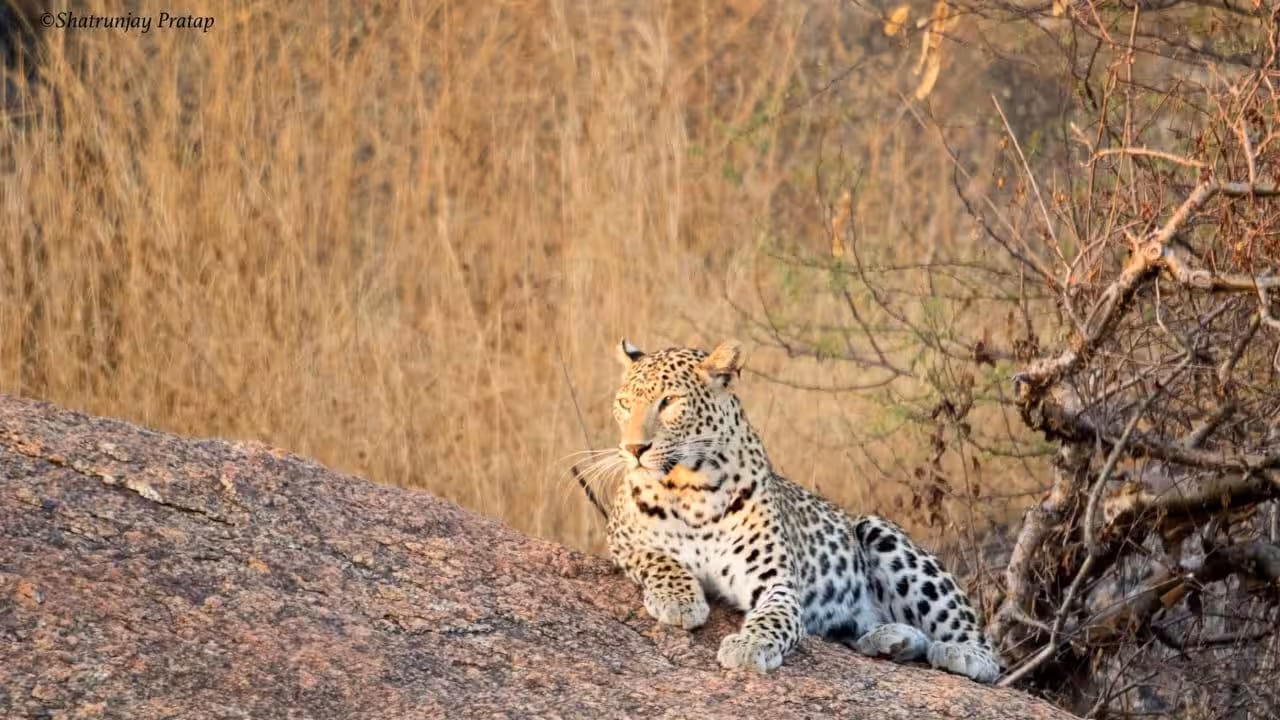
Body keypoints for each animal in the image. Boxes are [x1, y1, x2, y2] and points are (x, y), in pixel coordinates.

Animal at [599, 338, 1003, 683]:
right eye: (624, 404)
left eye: (668, 401)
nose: (633, 449)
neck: (689, 486)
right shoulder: (622, 541)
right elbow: (660, 559)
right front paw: (680, 602)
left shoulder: (776, 583)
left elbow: (771, 619)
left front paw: (747, 647)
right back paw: (891, 639)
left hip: (883, 534)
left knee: (981, 645)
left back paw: (960, 654)